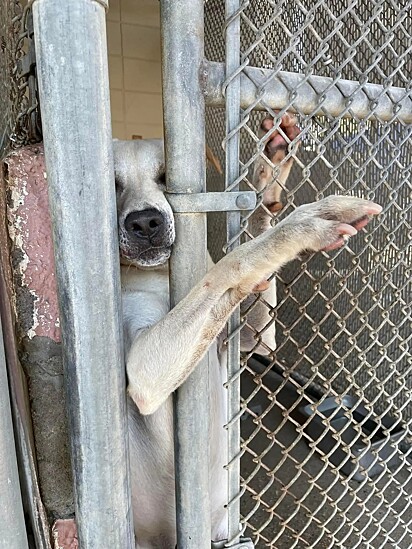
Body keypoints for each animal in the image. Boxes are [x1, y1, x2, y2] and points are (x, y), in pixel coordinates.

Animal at [112, 112, 380, 548]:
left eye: (167, 177)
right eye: (112, 183)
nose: (145, 222)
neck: (159, 275)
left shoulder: (250, 341)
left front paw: (269, 171)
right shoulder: (144, 374)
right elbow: (233, 262)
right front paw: (305, 224)